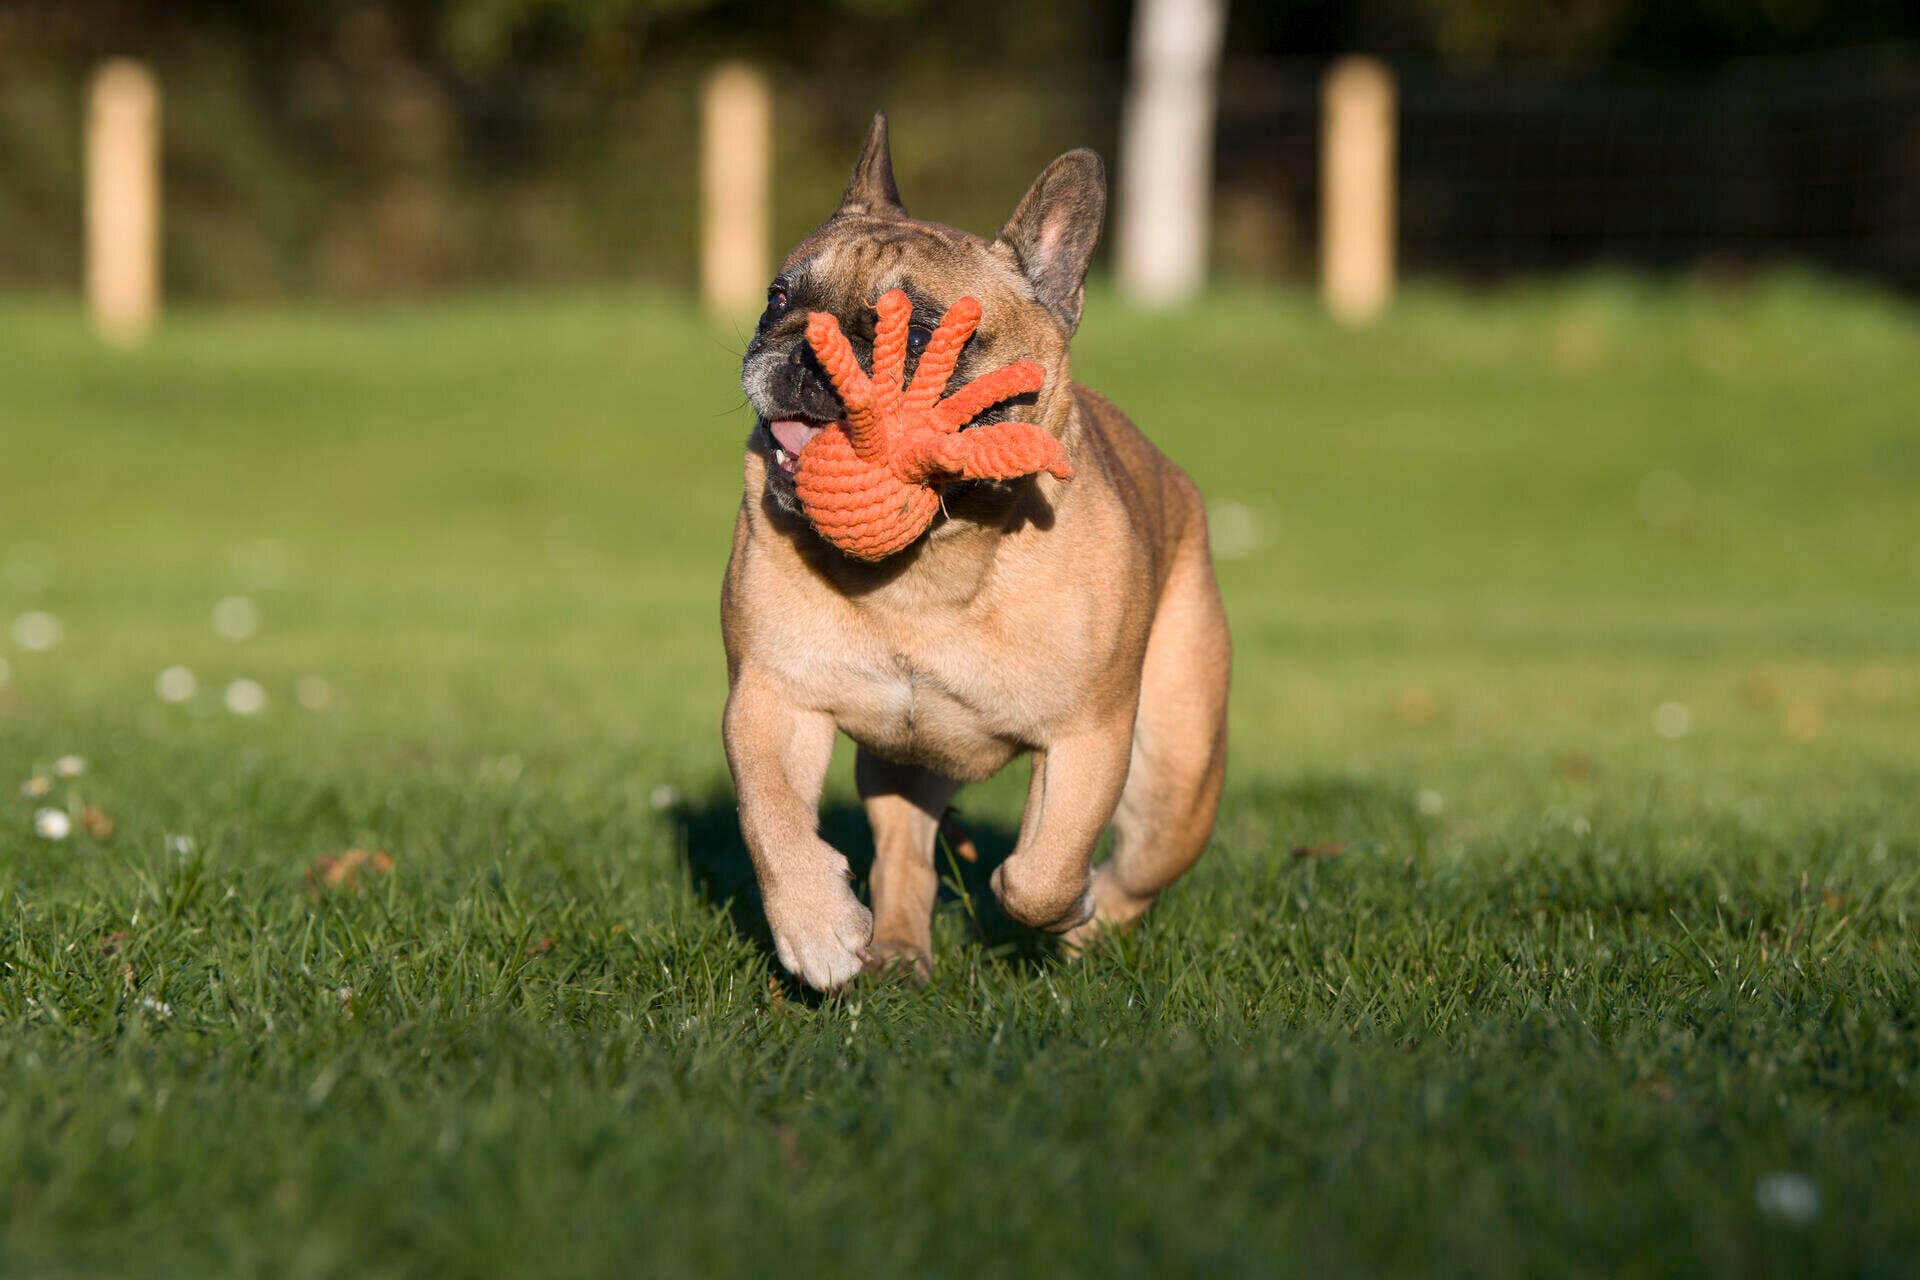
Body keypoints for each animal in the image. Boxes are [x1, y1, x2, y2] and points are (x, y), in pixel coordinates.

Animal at [721, 112, 1228, 990]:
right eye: (778, 297)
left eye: (922, 333)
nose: (807, 345)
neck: (931, 559)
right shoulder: (771, 697)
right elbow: (772, 820)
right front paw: (815, 930)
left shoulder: (1088, 738)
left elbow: (1042, 873)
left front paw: (1067, 908)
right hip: (901, 762)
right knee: (902, 855)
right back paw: (894, 947)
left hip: (1177, 775)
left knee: (1133, 869)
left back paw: (1090, 929)